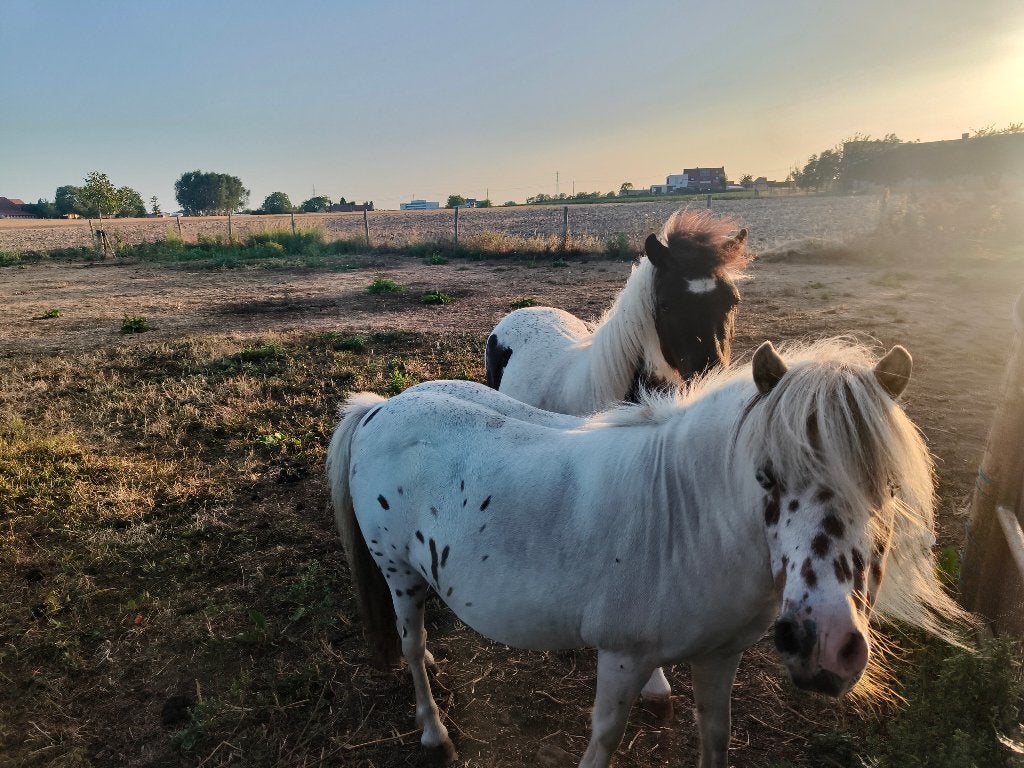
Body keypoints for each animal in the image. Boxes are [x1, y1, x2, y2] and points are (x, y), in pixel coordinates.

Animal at [328, 339, 967, 768]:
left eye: (887, 488)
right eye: (765, 476)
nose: (823, 646)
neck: (685, 520)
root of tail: (380, 407)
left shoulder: (720, 657)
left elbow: (715, 734)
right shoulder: (621, 659)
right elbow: (605, 739)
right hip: (399, 572)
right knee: (409, 645)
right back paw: (434, 733)